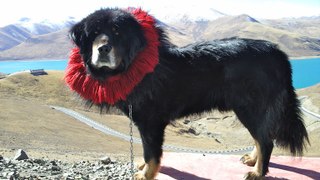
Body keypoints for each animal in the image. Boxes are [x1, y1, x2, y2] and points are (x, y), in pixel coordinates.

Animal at [66, 7, 308, 179]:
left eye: (117, 32)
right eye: (94, 33)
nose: (103, 49)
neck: (137, 65)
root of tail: (277, 52)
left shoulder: (151, 122)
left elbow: (151, 152)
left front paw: (146, 174)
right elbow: (146, 150)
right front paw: (143, 166)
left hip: (251, 108)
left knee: (265, 140)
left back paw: (258, 172)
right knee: (261, 137)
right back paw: (253, 160)